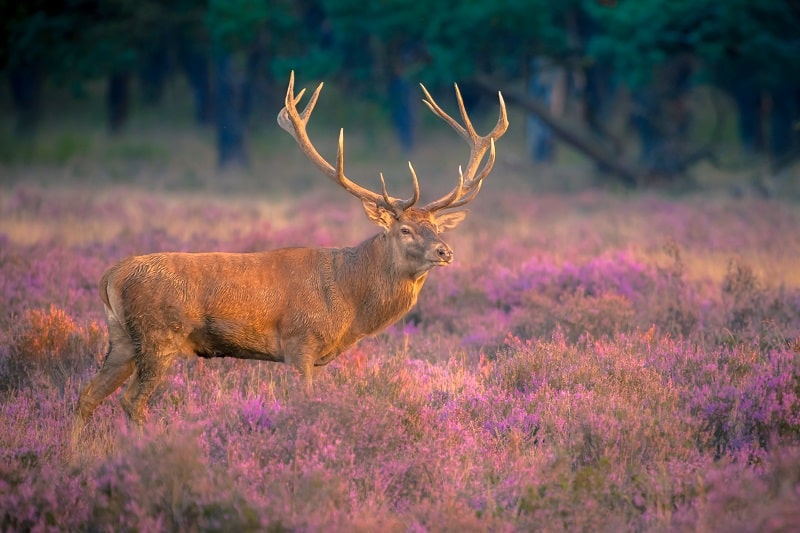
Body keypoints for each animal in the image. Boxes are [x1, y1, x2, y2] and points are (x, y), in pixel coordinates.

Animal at [75, 70, 506, 424]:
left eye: (434, 226)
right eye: (404, 229)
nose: (444, 251)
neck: (350, 300)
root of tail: (110, 276)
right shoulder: (300, 342)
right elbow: (305, 404)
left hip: (122, 337)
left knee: (87, 395)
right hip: (158, 335)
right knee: (132, 401)